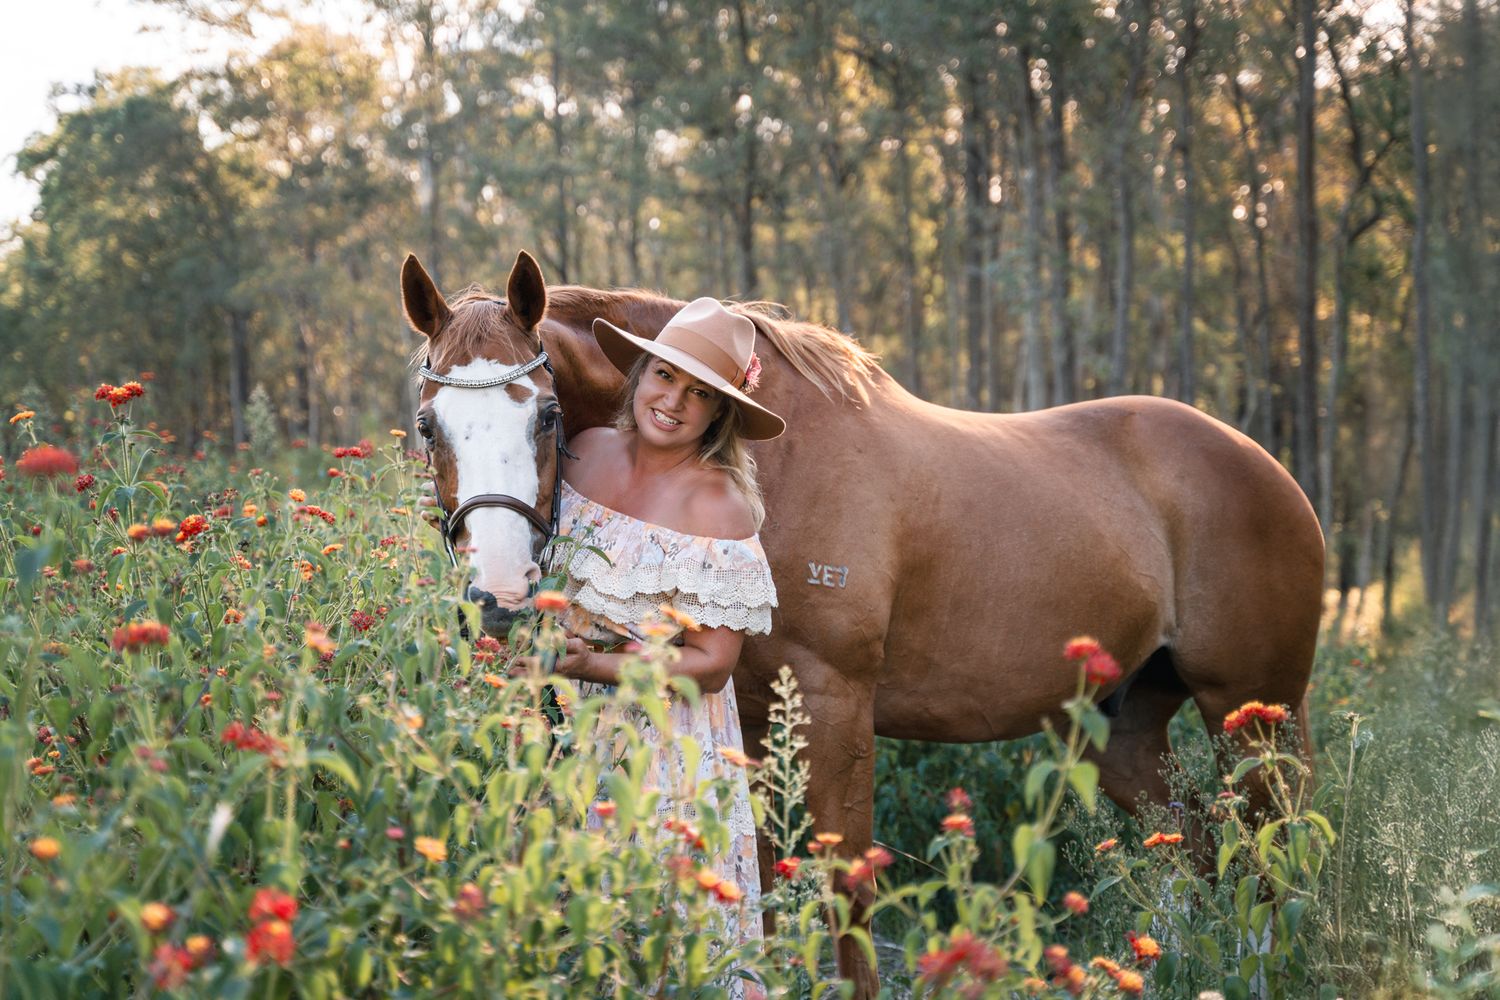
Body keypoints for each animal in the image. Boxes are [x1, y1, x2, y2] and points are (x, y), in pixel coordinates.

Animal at [401, 250, 1325, 996]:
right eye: (427, 425)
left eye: (545, 416)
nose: (497, 596)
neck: (766, 463)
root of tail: (1268, 469)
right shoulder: (753, 716)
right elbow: (765, 888)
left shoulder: (836, 702)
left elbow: (845, 892)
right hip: (1122, 732)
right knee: (1200, 850)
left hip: (1254, 721)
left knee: (1270, 859)